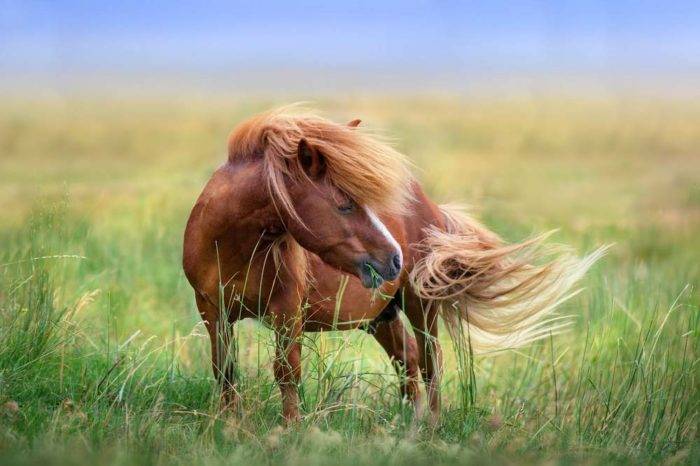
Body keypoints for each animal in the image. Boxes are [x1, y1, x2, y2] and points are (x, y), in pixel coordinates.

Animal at [183, 107, 605, 423]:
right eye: (344, 204)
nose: (394, 260)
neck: (234, 246)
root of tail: (428, 205)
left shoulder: (287, 312)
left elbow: (287, 371)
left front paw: (290, 431)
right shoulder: (213, 311)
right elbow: (225, 371)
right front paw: (230, 425)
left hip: (420, 304)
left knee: (430, 360)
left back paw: (430, 424)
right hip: (380, 315)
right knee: (407, 358)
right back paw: (409, 421)